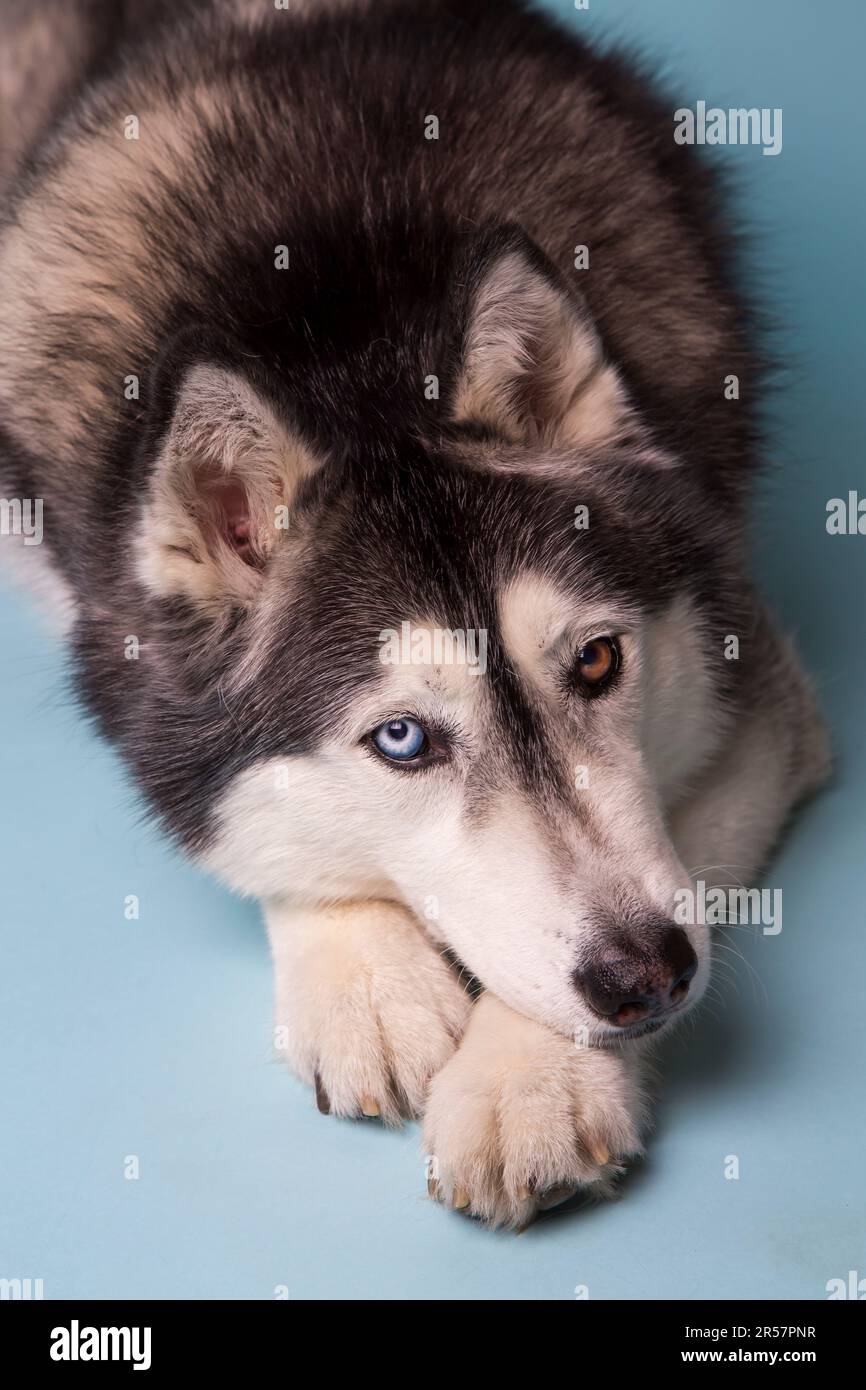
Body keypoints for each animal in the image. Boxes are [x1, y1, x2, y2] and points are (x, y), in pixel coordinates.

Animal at [0, 0, 828, 1223]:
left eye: (596, 662)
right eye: (401, 739)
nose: (646, 975)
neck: (338, 332)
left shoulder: (764, 694)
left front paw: (529, 1077)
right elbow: (249, 823)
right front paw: (367, 977)